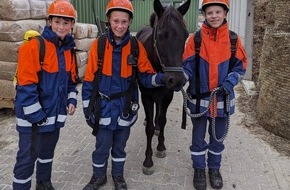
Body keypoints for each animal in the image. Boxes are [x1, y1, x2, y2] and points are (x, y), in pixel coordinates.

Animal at [137, 0, 191, 175]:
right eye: (161, 35)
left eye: (186, 36)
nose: (178, 80)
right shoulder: (146, 96)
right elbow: (149, 128)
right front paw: (148, 161)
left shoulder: (167, 96)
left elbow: (163, 119)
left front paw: (160, 146)